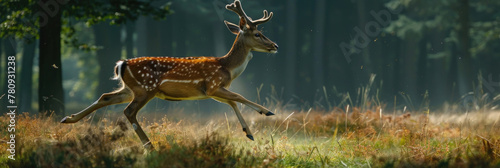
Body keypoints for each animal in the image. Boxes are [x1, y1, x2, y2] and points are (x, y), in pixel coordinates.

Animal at [61, 0, 280, 150]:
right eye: (257, 34)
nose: (275, 45)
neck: (226, 67)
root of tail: (122, 64)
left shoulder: (211, 91)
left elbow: (233, 102)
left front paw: (249, 133)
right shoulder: (212, 85)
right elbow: (239, 97)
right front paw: (267, 112)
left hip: (130, 88)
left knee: (106, 97)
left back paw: (68, 119)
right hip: (145, 88)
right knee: (128, 111)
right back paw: (149, 146)